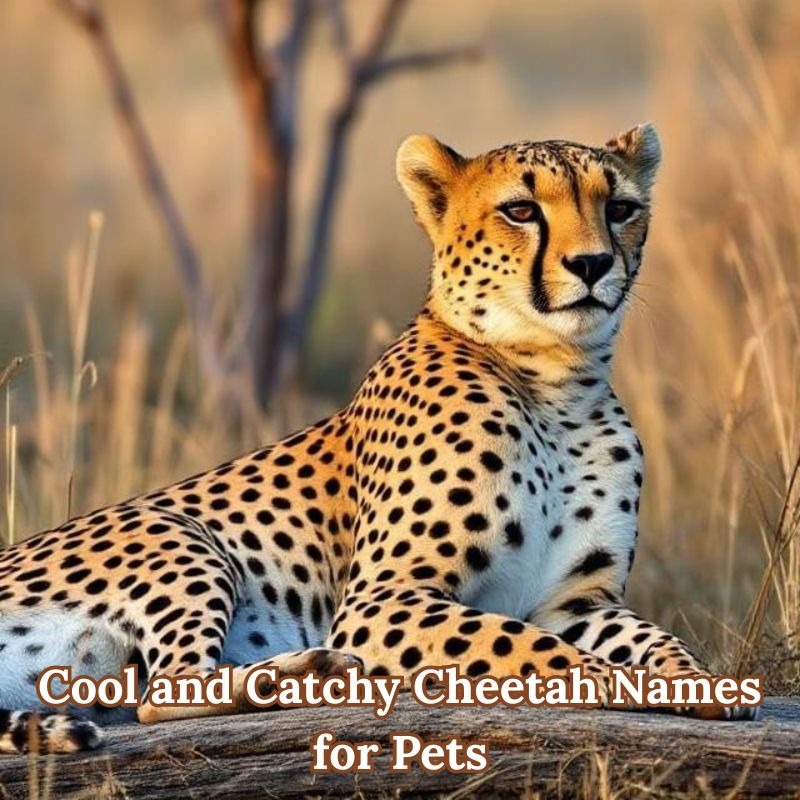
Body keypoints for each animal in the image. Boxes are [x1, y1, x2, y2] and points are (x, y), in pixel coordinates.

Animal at [0, 123, 759, 754]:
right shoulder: (381, 600)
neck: (556, 381)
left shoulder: (577, 601)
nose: (594, 264)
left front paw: (699, 680)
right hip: (176, 529)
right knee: (167, 689)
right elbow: (523, 646)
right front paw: (613, 681)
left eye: (621, 207)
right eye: (521, 210)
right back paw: (313, 672)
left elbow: (653, 635)